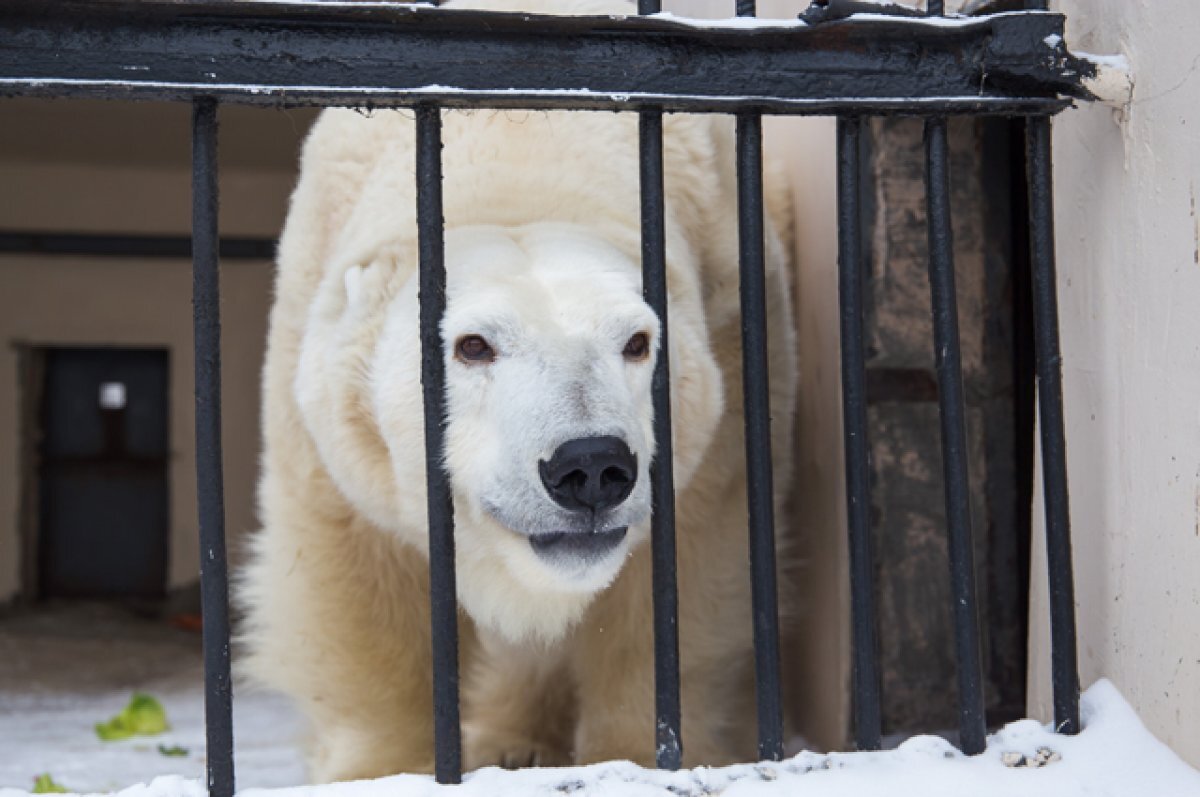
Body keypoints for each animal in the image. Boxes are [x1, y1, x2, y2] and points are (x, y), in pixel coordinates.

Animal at [234, 0, 796, 777]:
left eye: (637, 341)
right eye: (473, 345)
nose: (590, 466)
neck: (520, 139)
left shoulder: (731, 357)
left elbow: (682, 578)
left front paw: (640, 756)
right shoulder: (322, 402)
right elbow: (359, 582)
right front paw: (384, 768)